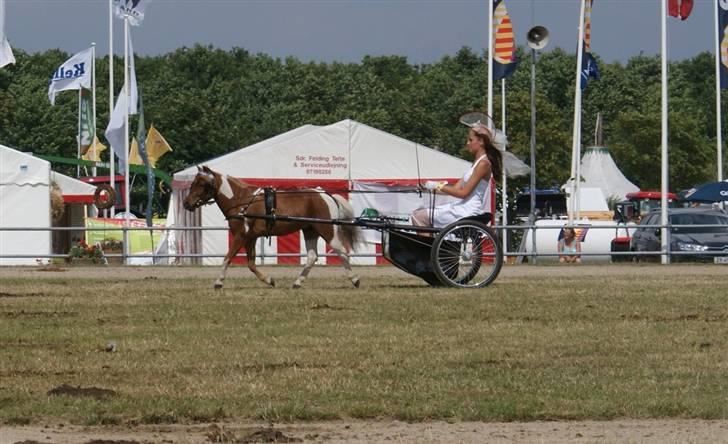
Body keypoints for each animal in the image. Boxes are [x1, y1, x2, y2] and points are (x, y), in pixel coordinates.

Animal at [183, 166, 362, 288]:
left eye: (202, 184)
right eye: (193, 182)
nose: (186, 203)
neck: (241, 201)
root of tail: (326, 195)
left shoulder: (241, 235)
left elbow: (228, 257)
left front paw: (219, 282)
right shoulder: (251, 237)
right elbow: (251, 264)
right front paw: (269, 280)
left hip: (327, 230)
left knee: (341, 251)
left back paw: (354, 279)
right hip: (310, 230)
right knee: (312, 256)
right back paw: (297, 282)